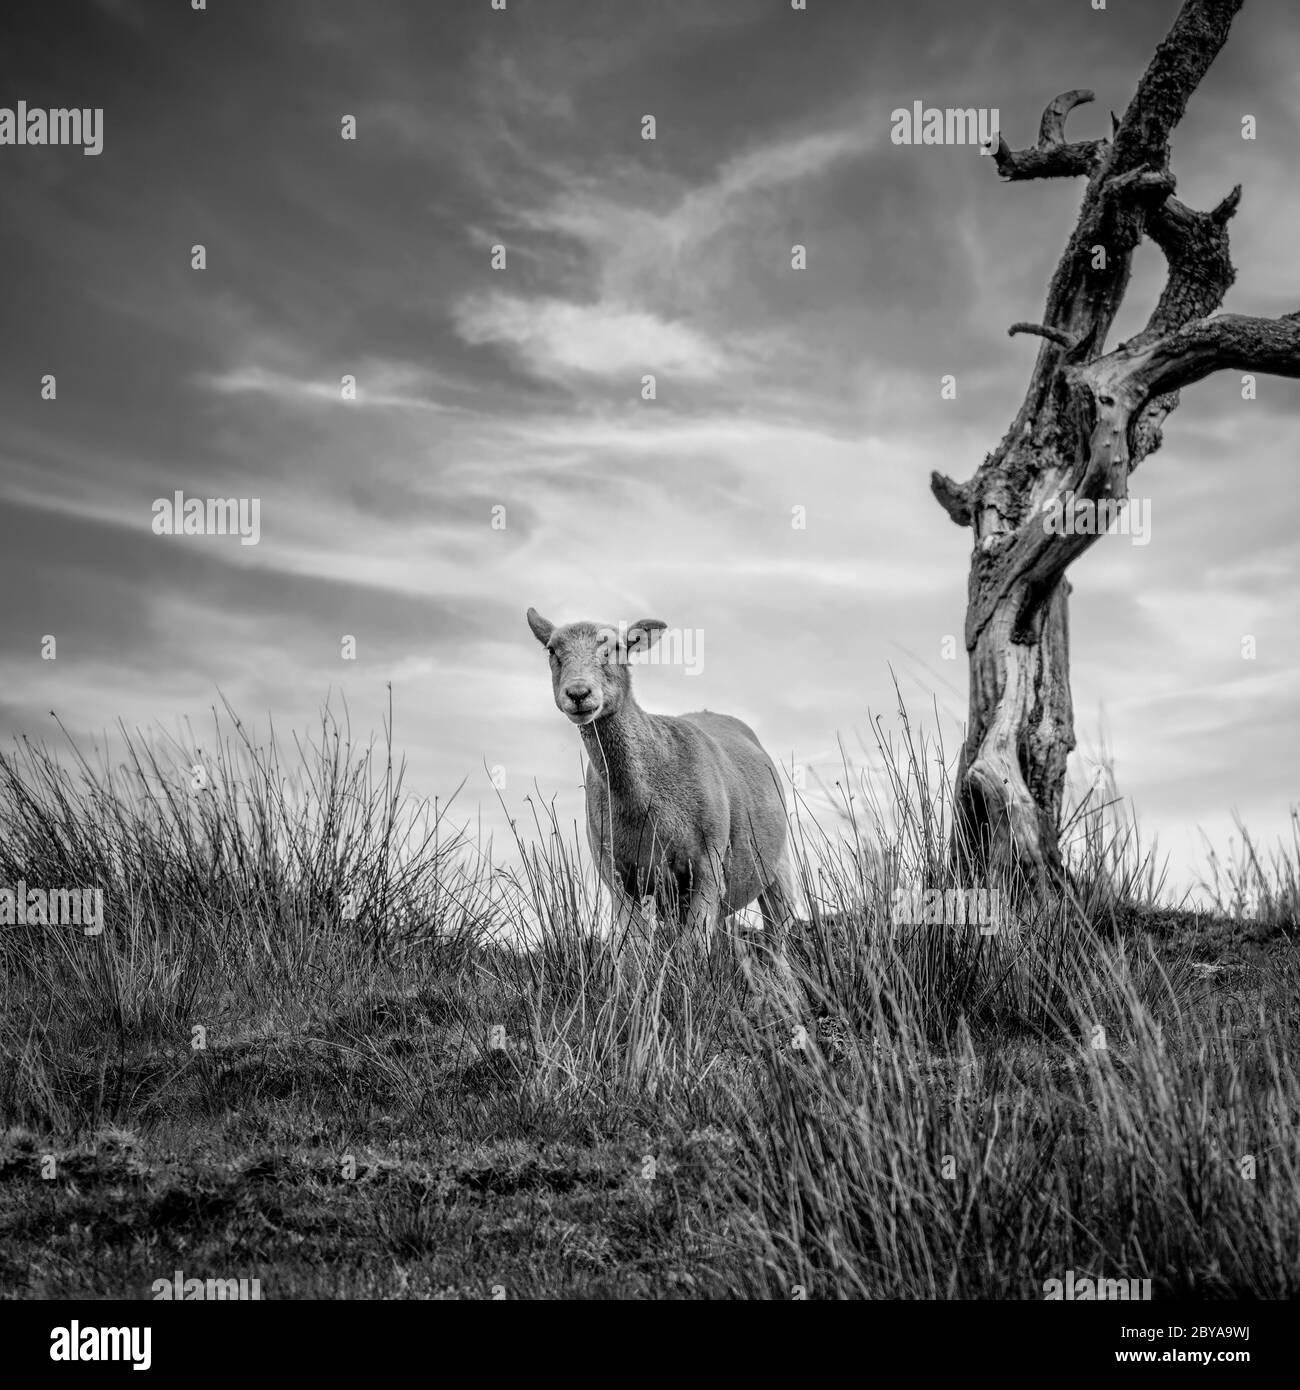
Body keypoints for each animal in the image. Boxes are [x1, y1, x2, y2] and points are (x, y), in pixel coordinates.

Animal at [526, 607, 796, 950]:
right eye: (551, 650)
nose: (578, 693)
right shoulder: (616, 874)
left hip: (777, 868)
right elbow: (636, 946)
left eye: (616, 647)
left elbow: (692, 947)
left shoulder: (708, 864)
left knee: (778, 936)